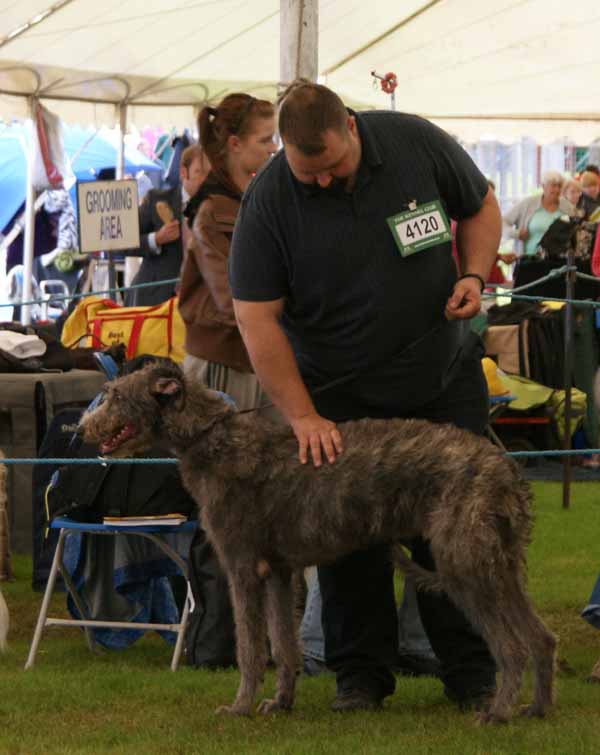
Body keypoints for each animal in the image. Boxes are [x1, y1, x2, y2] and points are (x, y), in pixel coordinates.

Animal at [81, 364, 556, 724]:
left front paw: (239, 707)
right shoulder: (278, 572)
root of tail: (506, 467)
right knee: (541, 637)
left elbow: (251, 649)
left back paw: (497, 712)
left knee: (511, 647)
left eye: (114, 395)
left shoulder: (242, 567)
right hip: (498, 565)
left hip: (464, 565)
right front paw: (280, 702)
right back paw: (536, 708)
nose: (81, 429)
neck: (211, 438)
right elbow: (283, 645)